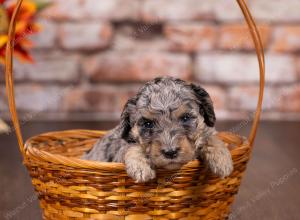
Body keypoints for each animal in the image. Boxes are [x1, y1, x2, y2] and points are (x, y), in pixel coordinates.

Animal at [83, 77, 233, 182]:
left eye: (185, 118)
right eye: (148, 124)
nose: (170, 152)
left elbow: (209, 136)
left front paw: (222, 159)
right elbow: (131, 146)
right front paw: (140, 166)